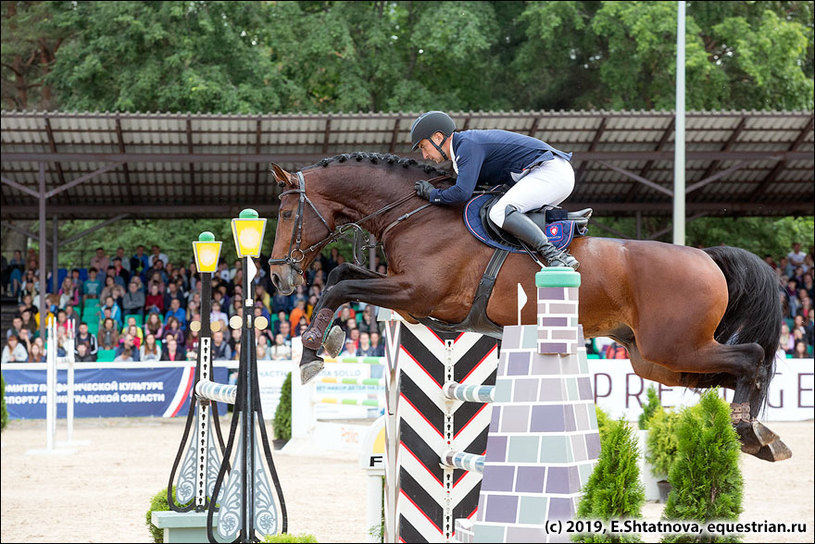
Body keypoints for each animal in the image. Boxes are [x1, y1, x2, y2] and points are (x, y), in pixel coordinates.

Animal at [268, 153, 792, 464]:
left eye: (289, 213)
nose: (277, 277)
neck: (413, 213)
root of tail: (707, 256)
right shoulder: (407, 297)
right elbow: (341, 276)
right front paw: (328, 342)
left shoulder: (415, 294)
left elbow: (339, 287)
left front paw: (312, 351)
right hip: (654, 358)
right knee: (729, 371)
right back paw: (760, 433)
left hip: (675, 346)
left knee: (751, 358)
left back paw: (749, 432)